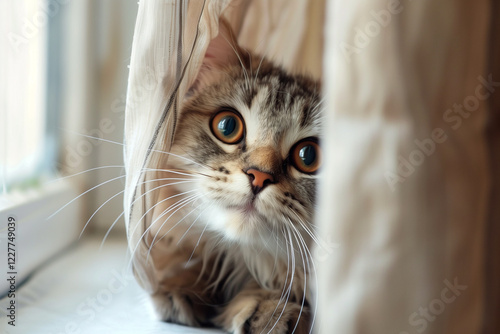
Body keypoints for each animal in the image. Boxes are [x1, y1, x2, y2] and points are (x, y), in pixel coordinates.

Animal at [144, 19, 324, 332]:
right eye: (227, 126)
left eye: (308, 156)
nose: (259, 177)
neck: (242, 261)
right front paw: (184, 285)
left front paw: (270, 310)